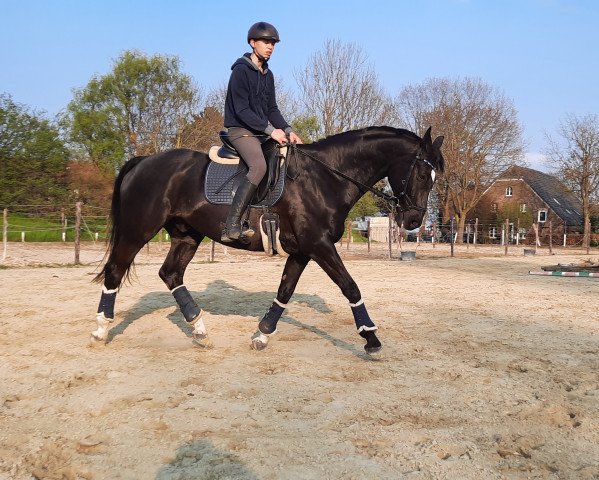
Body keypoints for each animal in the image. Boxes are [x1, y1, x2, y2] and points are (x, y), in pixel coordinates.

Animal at [91, 125, 442, 354]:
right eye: (422, 174)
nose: (413, 221)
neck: (327, 177)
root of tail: (144, 161)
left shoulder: (303, 251)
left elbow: (285, 292)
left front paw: (262, 335)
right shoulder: (319, 245)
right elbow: (350, 286)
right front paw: (370, 337)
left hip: (187, 235)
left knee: (170, 274)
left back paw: (200, 330)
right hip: (138, 230)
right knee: (115, 271)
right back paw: (100, 330)